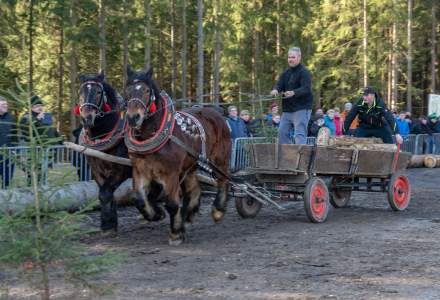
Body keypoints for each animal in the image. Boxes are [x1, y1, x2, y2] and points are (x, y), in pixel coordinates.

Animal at [77, 72, 132, 232]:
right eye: (81, 92)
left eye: (98, 92)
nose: (86, 118)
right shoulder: (96, 169)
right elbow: (104, 193)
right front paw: (109, 222)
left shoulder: (121, 169)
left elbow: (106, 192)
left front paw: (108, 223)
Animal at [124, 67, 230, 245]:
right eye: (127, 90)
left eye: (146, 90)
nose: (133, 117)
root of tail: (216, 112)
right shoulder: (140, 170)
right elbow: (139, 199)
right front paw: (158, 214)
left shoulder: (171, 174)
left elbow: (172, 204)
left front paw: (175, 233)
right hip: (191, 165)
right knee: (194, 190)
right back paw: (187, 216)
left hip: (220, 158)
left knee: (223, 179)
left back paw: (218, 211)